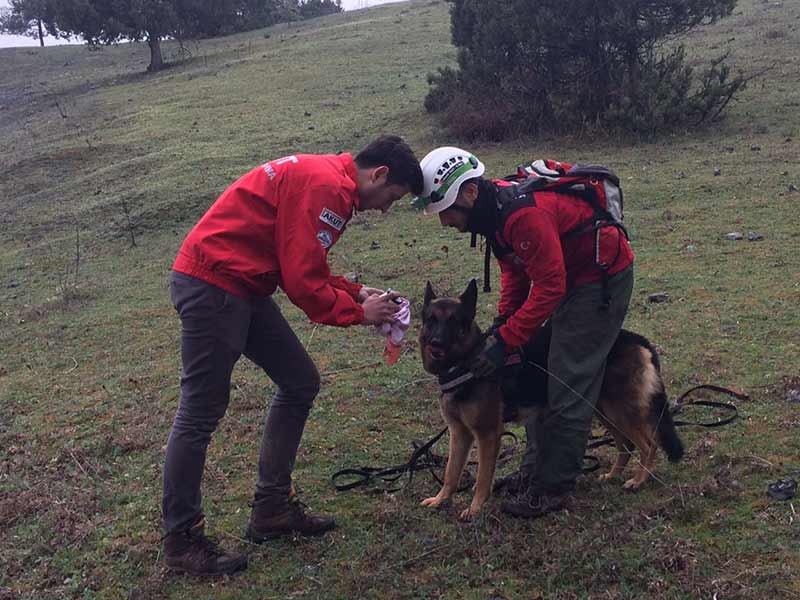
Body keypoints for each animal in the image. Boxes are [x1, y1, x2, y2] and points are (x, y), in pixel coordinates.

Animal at [416, 282, 684, 520]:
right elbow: (451, 472)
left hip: (619, 412)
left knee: (649, 445)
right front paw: (440, 500)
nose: (435, 342)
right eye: (431, 320)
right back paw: (612, 476)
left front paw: (474, 510)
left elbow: (482, 477)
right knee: (626, 445)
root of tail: (636, 338)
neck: (466, 362)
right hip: (605, 411)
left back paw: (639, 481)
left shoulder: (487, 434)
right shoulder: (459, 433)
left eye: (454, 321)